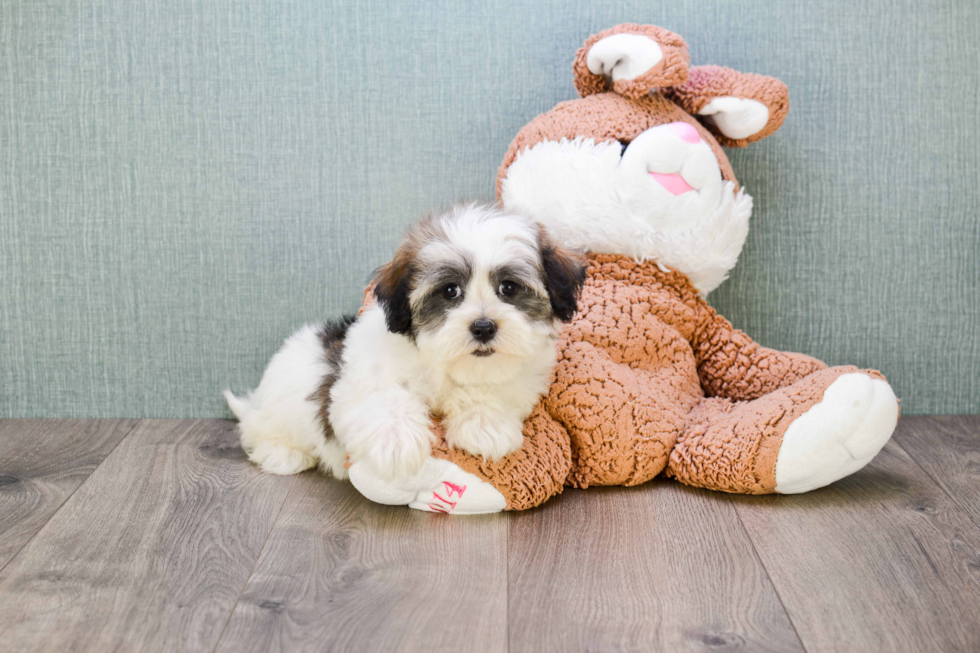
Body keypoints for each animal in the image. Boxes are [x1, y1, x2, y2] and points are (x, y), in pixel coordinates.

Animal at [226, 204, 584, 478]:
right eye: (450, 290)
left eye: (508, 288)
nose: (483, 327)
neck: (443, 364)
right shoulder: (362, 373)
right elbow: (385, 395)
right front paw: (396, 441)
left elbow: (489, 392)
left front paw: (485, 425)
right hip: (281, 407)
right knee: (258, 431)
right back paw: (283, 453)